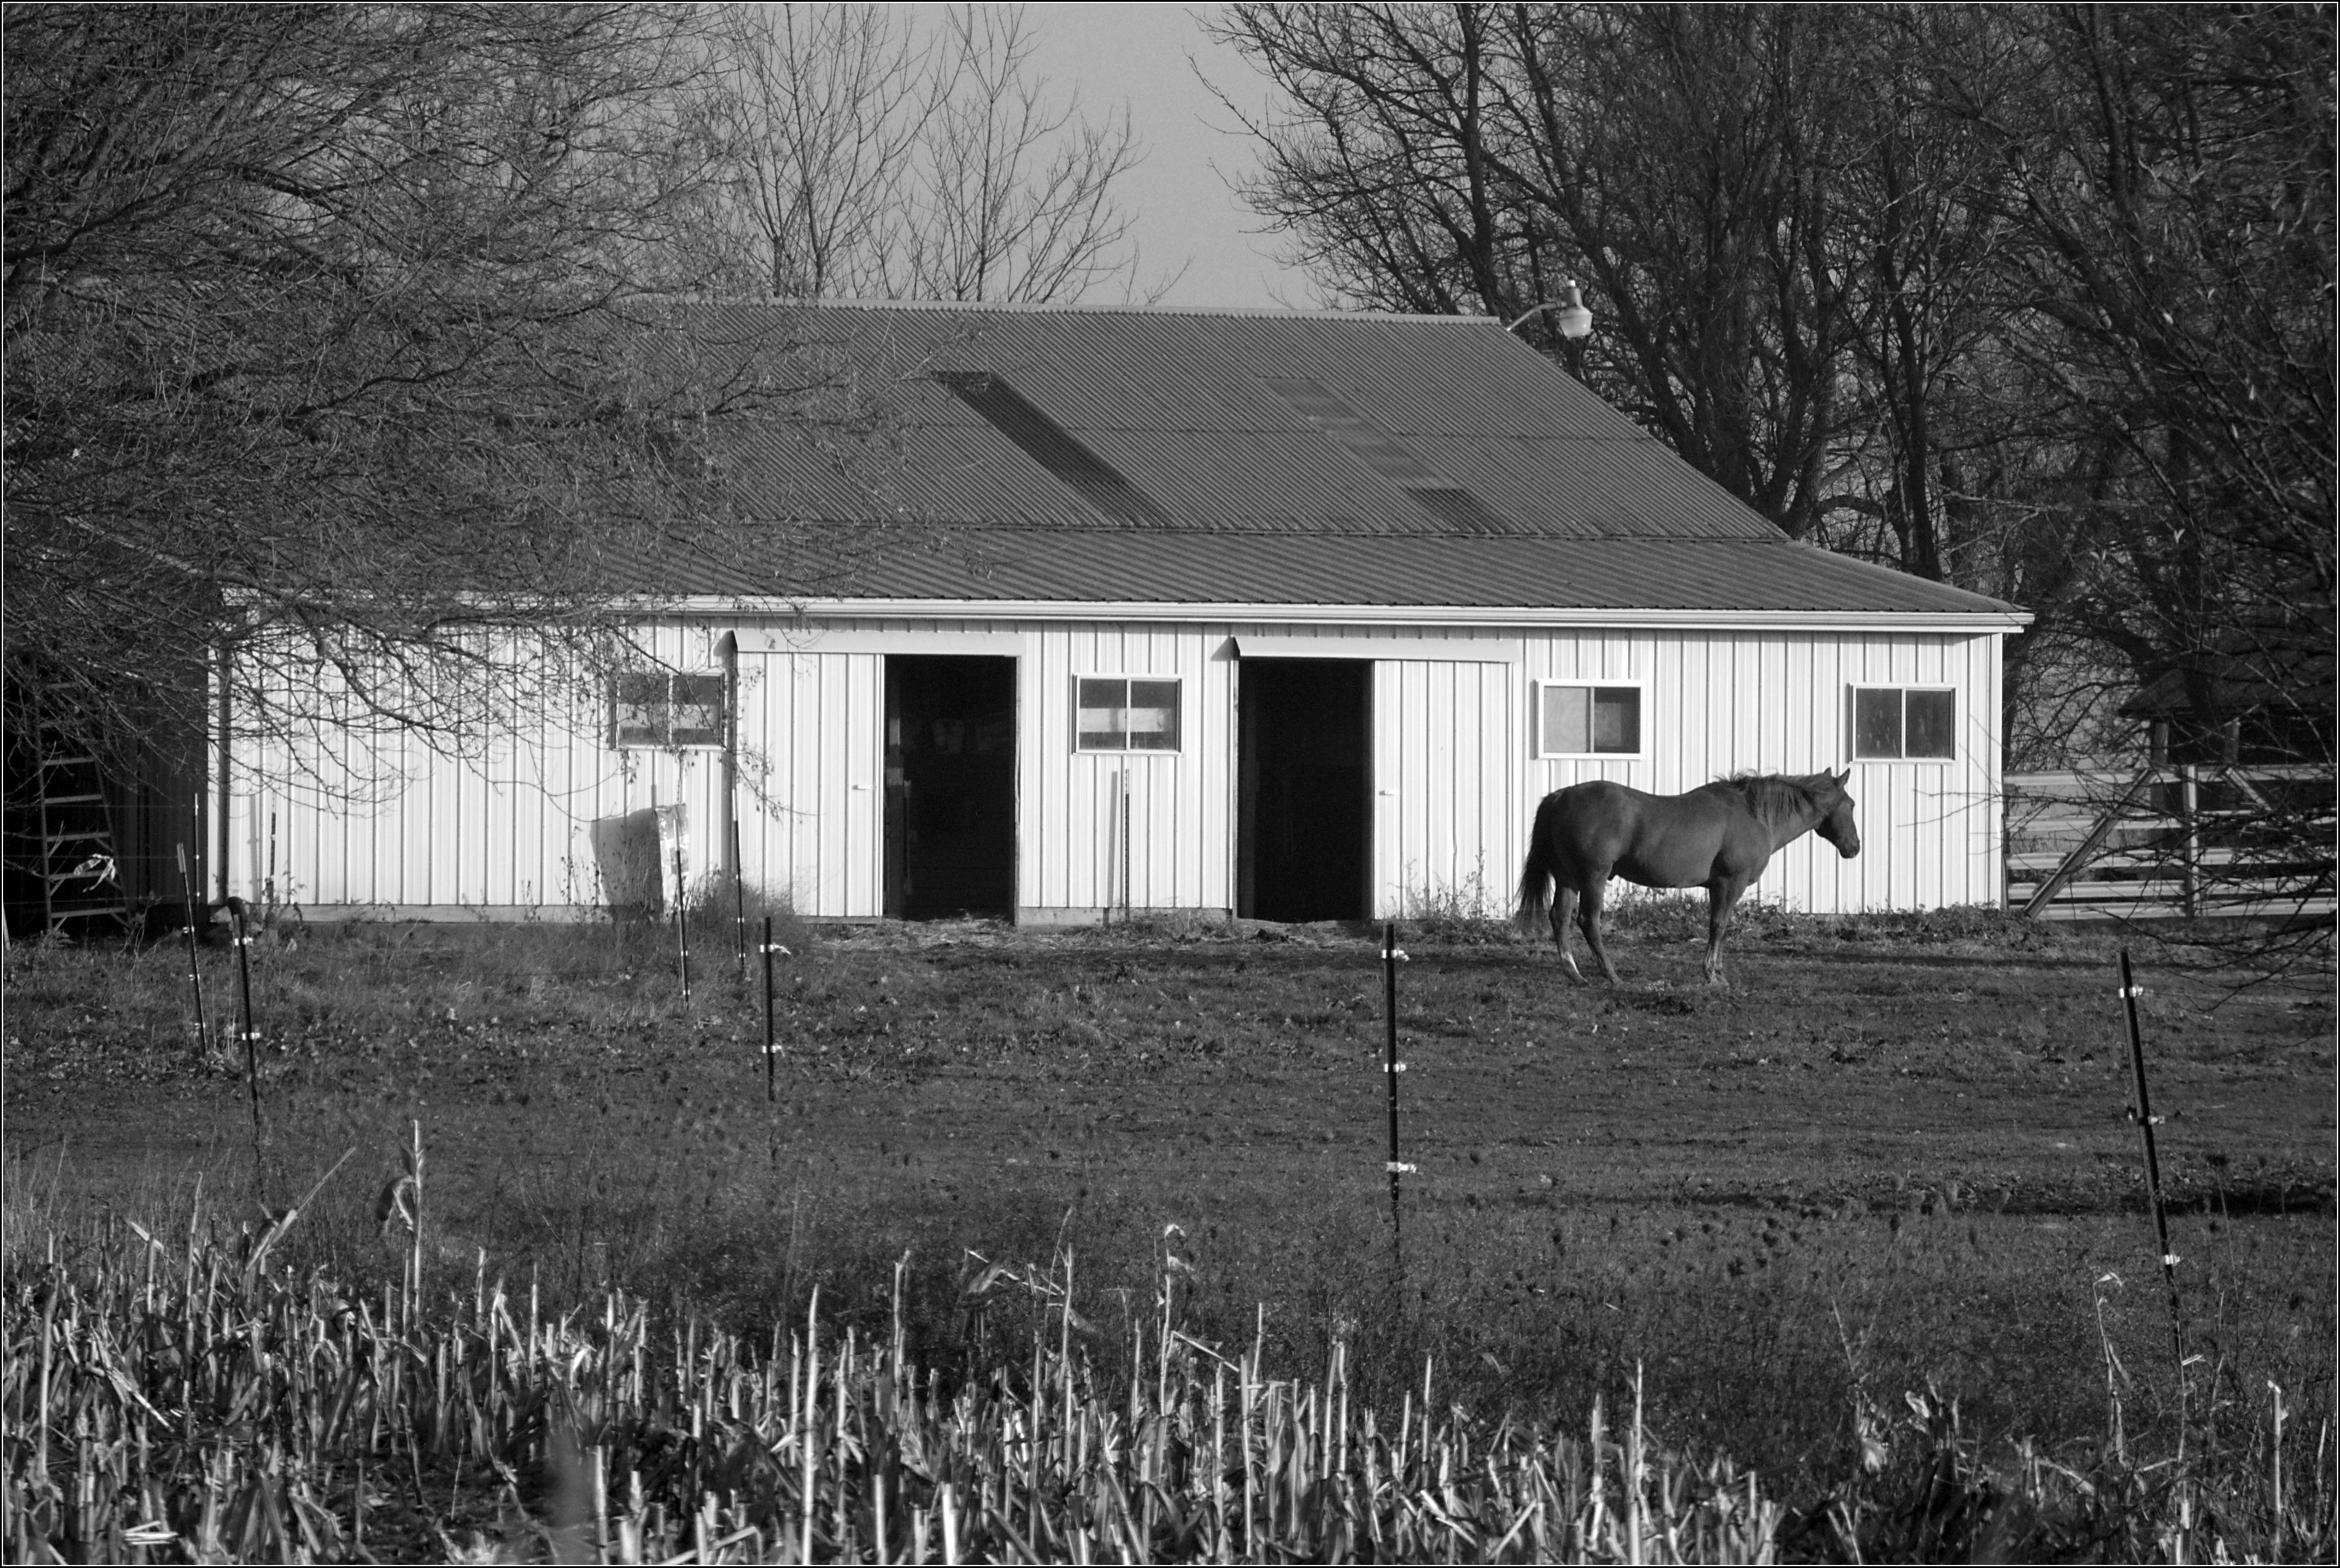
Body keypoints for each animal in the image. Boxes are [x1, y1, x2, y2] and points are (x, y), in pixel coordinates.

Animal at [1516, 772, 1863, 983]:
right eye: (1852, 804)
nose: (1855, 847)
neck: (1754, 816)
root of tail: (1560, 796)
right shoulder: (1729, 884)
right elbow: (1719, 926)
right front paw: (1713, 975)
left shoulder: (1718, 887)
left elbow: (1720, 927)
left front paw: (1717, 971)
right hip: (1593, 878)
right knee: (1588, 921)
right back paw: (1611, 974)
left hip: (1568, 878)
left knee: (1560, 917)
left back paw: (1574, 973)